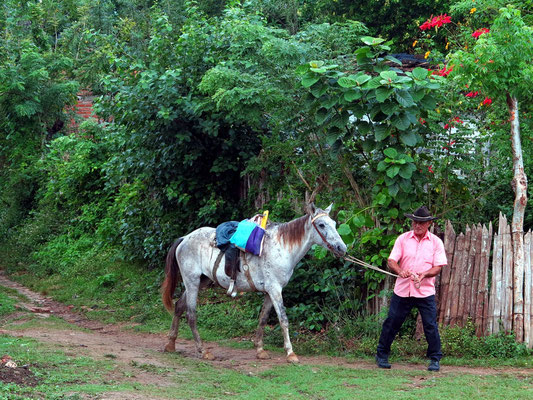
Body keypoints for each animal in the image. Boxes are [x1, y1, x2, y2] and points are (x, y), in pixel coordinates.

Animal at [160, 203, 348, 362]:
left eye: (334, 223)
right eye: (322, 225)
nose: (342, 248)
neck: (282, 248)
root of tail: (185, 238)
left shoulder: (269, 292)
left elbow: (263, 318)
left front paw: (260, 350)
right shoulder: (275, 290)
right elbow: (283, 319)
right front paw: (290, 353)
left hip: (201, 281)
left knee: (179, 306)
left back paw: (170, 344)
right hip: (191, 282)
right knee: (191, 315)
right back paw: (203, 350)